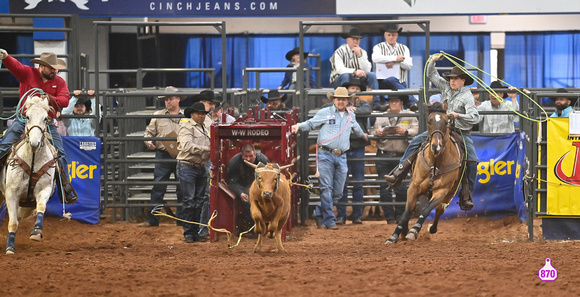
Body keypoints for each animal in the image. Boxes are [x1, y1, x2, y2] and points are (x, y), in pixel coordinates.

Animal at [0, 96, 58, 253]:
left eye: (45, 118)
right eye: (27, 117)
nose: (34, 143)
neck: (32, 159)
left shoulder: (44, 189)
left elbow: (41, 207)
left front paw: (36, 232)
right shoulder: (11, 194)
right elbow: (13, 223)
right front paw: (10, 248)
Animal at [386, 105, 466, 244]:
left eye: (446, 122)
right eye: (429, 121)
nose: (436, 146)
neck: (435, 163)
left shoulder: (441, 191)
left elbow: (427, 210)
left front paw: (414, 231)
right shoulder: (414, 187)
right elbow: (407, 211)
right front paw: (394, 235)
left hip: (449, 194)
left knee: (439, 211)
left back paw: (431, 228)